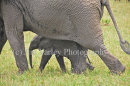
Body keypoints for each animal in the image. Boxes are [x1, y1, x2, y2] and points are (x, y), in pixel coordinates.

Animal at [0, 0, 129, 74]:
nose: (32, 68)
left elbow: (13, 32)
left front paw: (22, 74)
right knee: (82, 45)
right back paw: (79, 72)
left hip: (84, 14)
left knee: (92, 43)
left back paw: (118, 72)